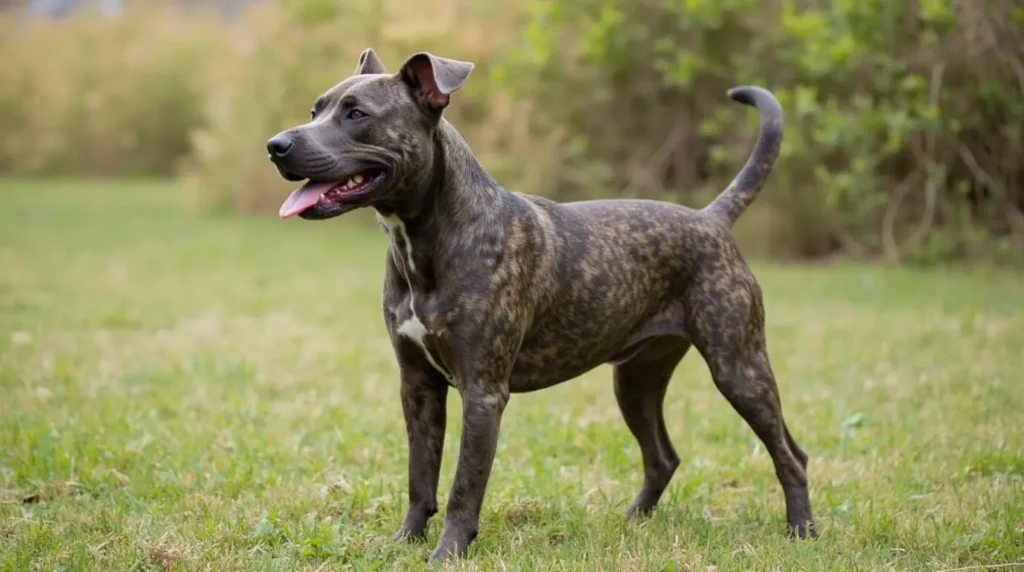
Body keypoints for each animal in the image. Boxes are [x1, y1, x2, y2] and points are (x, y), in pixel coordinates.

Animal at [266, 48, 815, 560]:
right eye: (316, 109)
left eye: (357, 113)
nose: (277, 145)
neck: (428, 237)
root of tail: (712, 218)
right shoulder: (417, 386)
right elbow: (420, 477)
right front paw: (404, 542)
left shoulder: (483, 393)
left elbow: (464, 485)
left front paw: (447, 553)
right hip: (636, 379)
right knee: (665, 456)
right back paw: (632, 522)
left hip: (738, 367)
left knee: (789, 455)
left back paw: (802, 531)